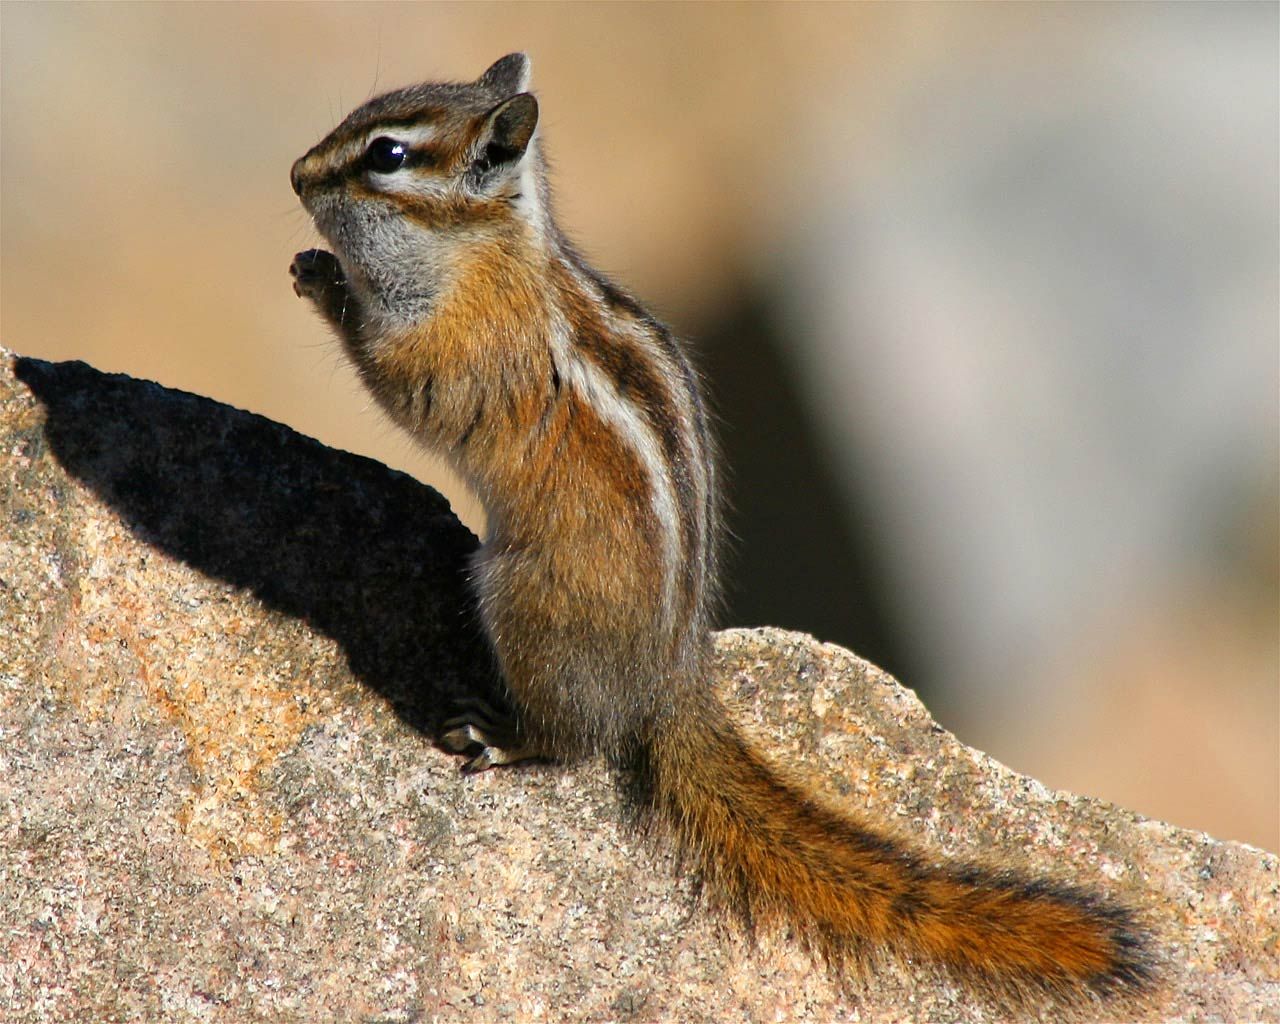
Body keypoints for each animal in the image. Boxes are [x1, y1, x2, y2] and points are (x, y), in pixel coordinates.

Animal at [289, 53, 1151, 1008]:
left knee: (575, 743)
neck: (484, 248)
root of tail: (674, 679)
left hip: (520, 603)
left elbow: (402, 384)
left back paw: (504, 736)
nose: (295, 174)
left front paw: (323, 280)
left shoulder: (461, 351)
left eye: (388, 155)